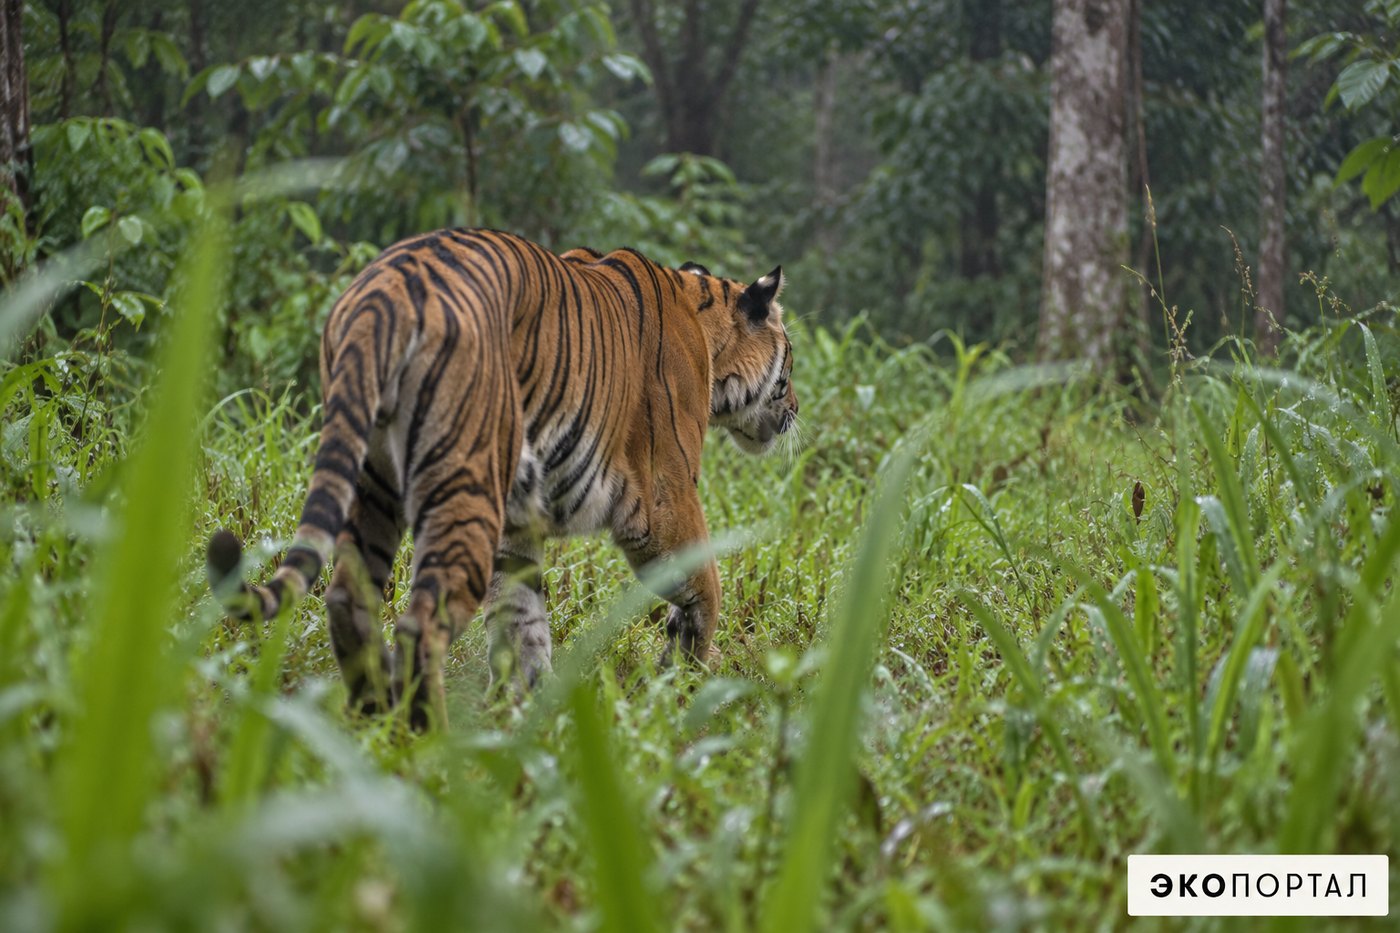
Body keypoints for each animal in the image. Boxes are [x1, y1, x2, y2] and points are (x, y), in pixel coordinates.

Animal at [207, 228, 798, 728]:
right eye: (790, 362)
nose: (795, 409)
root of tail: (385, 292)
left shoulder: (518, 526)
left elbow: (522, 621)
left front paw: (529, 716)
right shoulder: (663, 498)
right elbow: (706, 583)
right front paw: (692, 680)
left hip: (370, 479)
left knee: (349, 599)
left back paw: (371, 723)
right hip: (464, 483)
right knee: (421, 621)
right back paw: (426, 741)